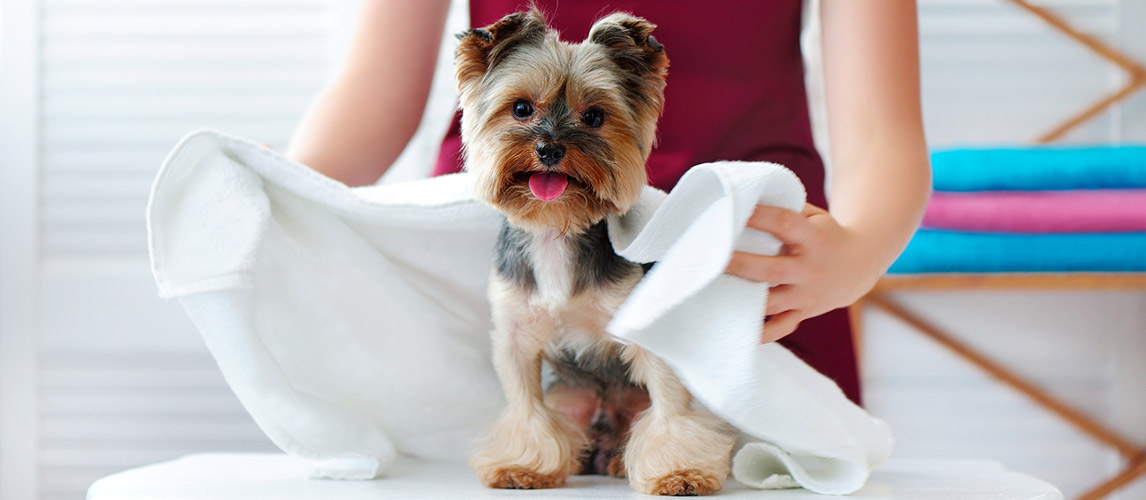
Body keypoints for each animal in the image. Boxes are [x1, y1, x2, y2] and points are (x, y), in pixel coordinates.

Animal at [451, 8, 738, 495]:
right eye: (521, 108)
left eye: (595, 116)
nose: (550, 148)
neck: (556, 227)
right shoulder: (516, 334)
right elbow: (526, 406)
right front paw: (522, 465)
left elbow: (670, 409)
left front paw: (679, 472)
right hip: (572, 401)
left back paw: (620, 461)